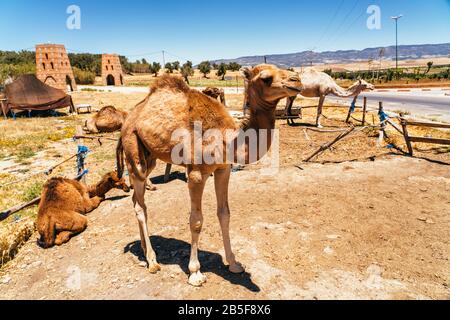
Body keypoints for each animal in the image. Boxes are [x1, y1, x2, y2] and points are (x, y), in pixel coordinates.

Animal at [115, 65, 302, 288]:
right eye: (266, 78)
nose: (297, 80)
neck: (228, 138)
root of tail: (127, 119)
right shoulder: (196, 173)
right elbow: (196, 221)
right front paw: (195, 272)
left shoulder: (223, 169)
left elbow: (224, 214)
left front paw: (234, 263)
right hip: (133, 151)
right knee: (139, 204)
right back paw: (152, 261)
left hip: (150, 155)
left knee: (137, 200)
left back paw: (144, 249)